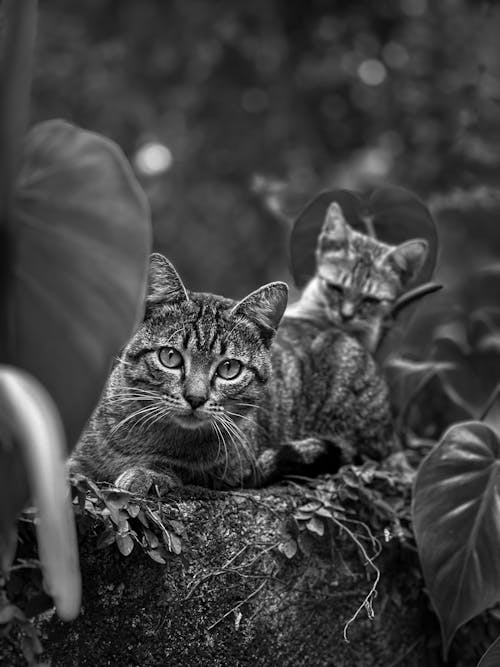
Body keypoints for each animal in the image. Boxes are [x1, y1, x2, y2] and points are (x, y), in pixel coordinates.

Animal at [69, 253, 394, 494]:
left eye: (229, 369)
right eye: (170, 357)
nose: (195, 398)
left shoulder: (233, 469)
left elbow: (182, 468)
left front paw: (147, 472)